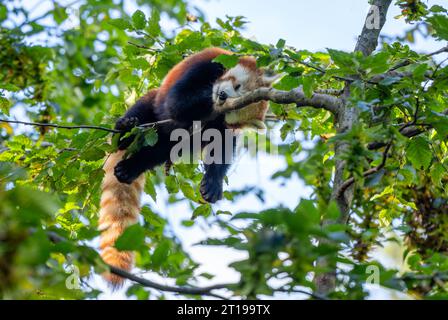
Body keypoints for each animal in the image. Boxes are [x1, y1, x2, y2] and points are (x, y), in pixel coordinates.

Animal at [99, 47, 280, 284]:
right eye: (238, 87)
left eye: (235, 108)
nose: (221, 96)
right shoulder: (204, 66)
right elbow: (177, 103)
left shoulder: (222, 125)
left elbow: (220, 147)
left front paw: (212, 183)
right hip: (152, 105)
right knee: (143, 111)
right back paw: (124, 131)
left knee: (158, 151)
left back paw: (130, 168)